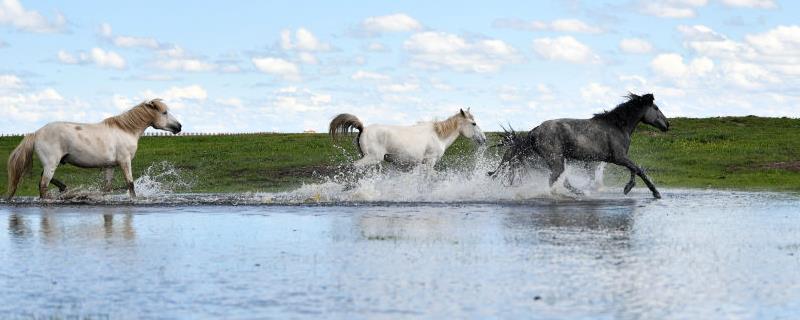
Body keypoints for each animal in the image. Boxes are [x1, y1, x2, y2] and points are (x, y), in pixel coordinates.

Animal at [6, 99, 182, 200]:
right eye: (164, 112)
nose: (179, 127)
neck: (126, 130)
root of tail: (36, 133)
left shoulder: (110, 166)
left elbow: (107, 189)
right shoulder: (125, 161)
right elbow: (130, 184)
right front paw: (134, 200)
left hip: (53, 163)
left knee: (43, 180)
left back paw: (63, 188)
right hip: (51, 163)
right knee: (43, 185)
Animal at [326, 108, 488, 166]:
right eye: (473, 123)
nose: (484, 139)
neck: (438, 136)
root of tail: (363, 128)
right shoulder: (429, 162)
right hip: (371, 158)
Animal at [488, 92, 668, 198]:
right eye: (656, 108)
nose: (667, 125)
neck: (618, 126)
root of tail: (534, 131)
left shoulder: (621, 158)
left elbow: (634, 170)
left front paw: (628, 188)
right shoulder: (619, 157)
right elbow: (639, 170)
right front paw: (655, 192)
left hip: (551, 161)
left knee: (563, 181)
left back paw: (580, 193)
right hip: (556, 161)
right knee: (554, 181)